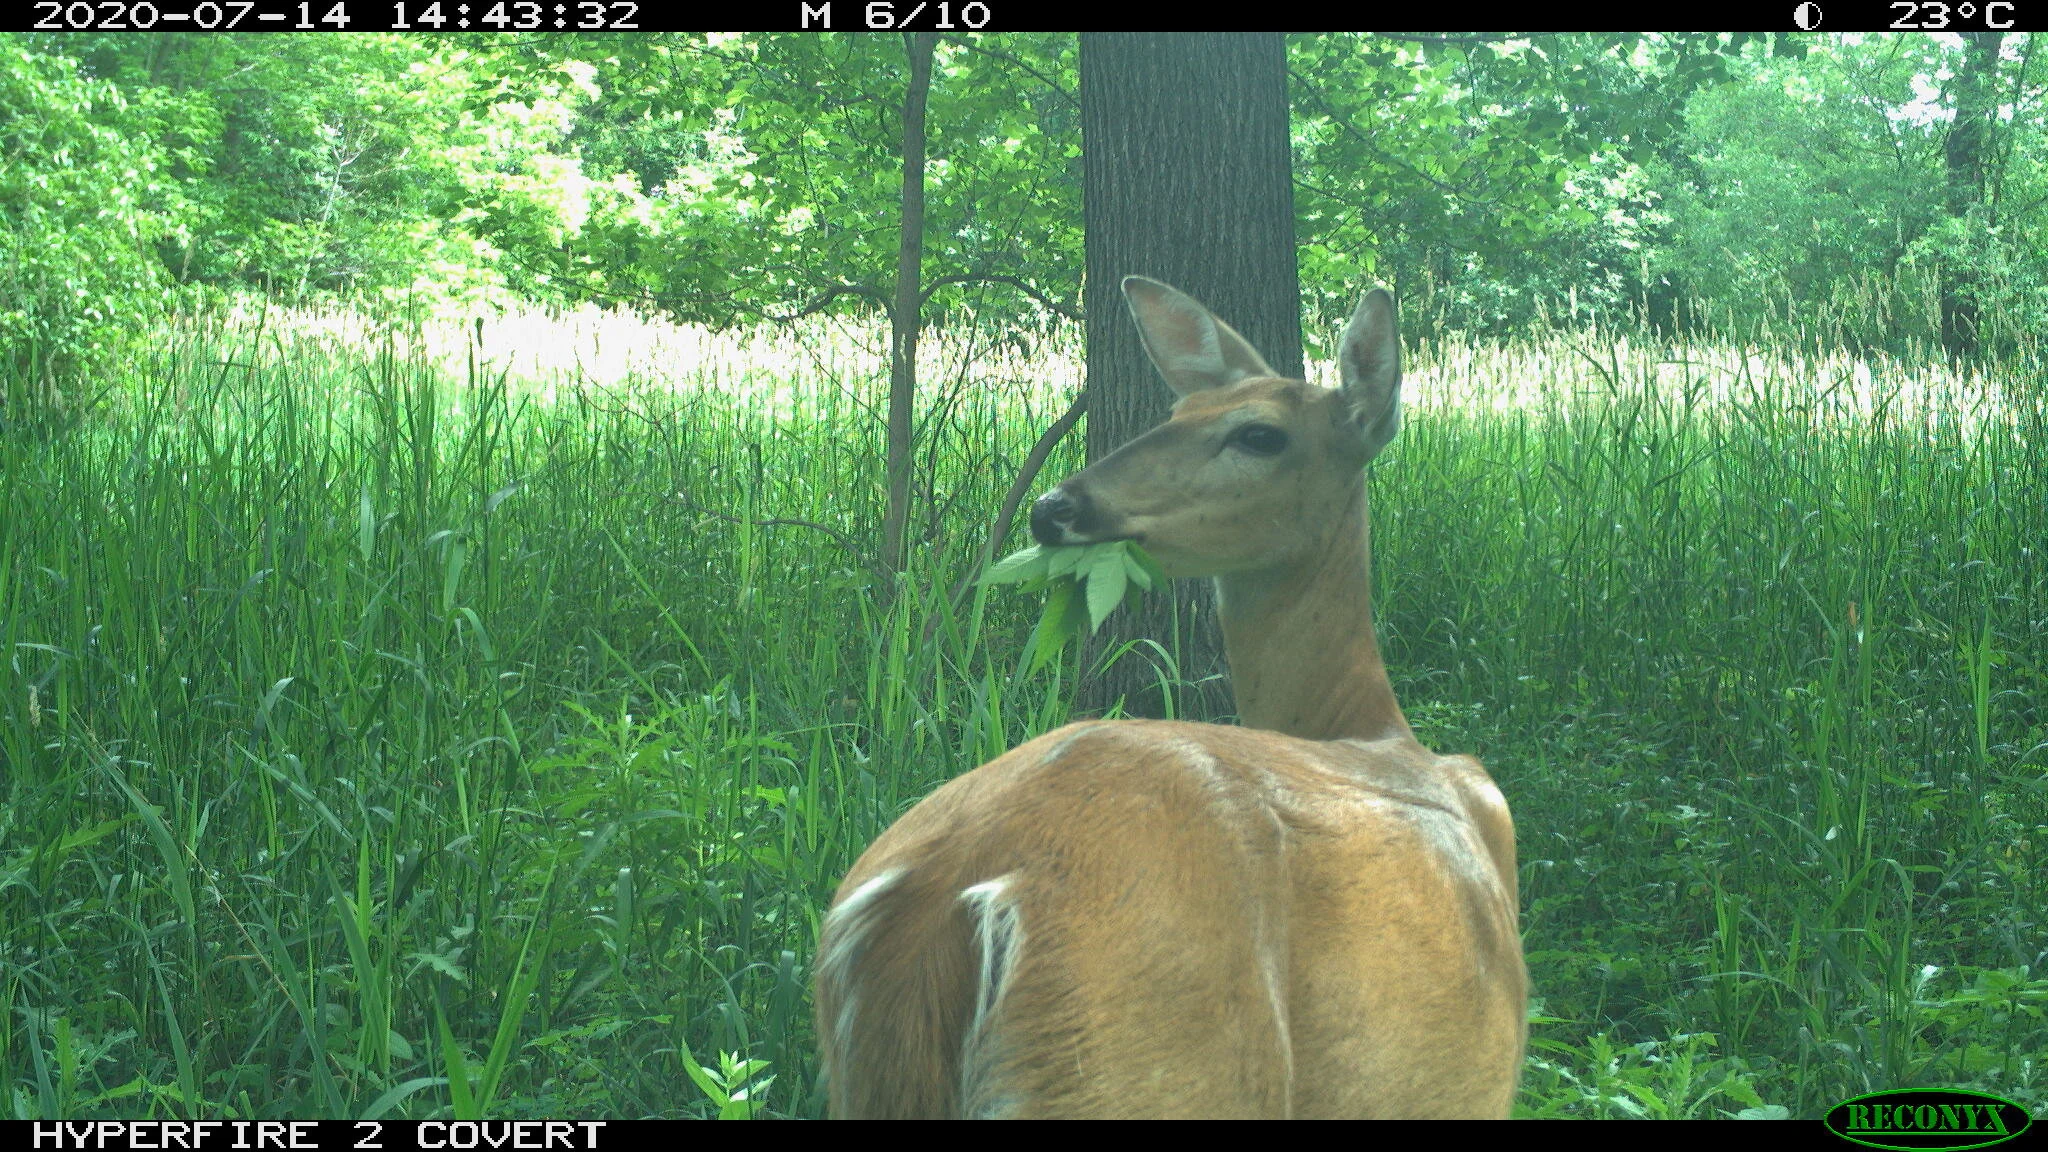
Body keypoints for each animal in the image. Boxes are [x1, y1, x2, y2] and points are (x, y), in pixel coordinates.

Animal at [813, 276, 1525, 1118]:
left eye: (1259, 433)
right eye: (1178, 412)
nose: (1054, 507)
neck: (1374, 727)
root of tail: (938, 900)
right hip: (1147, 1068)